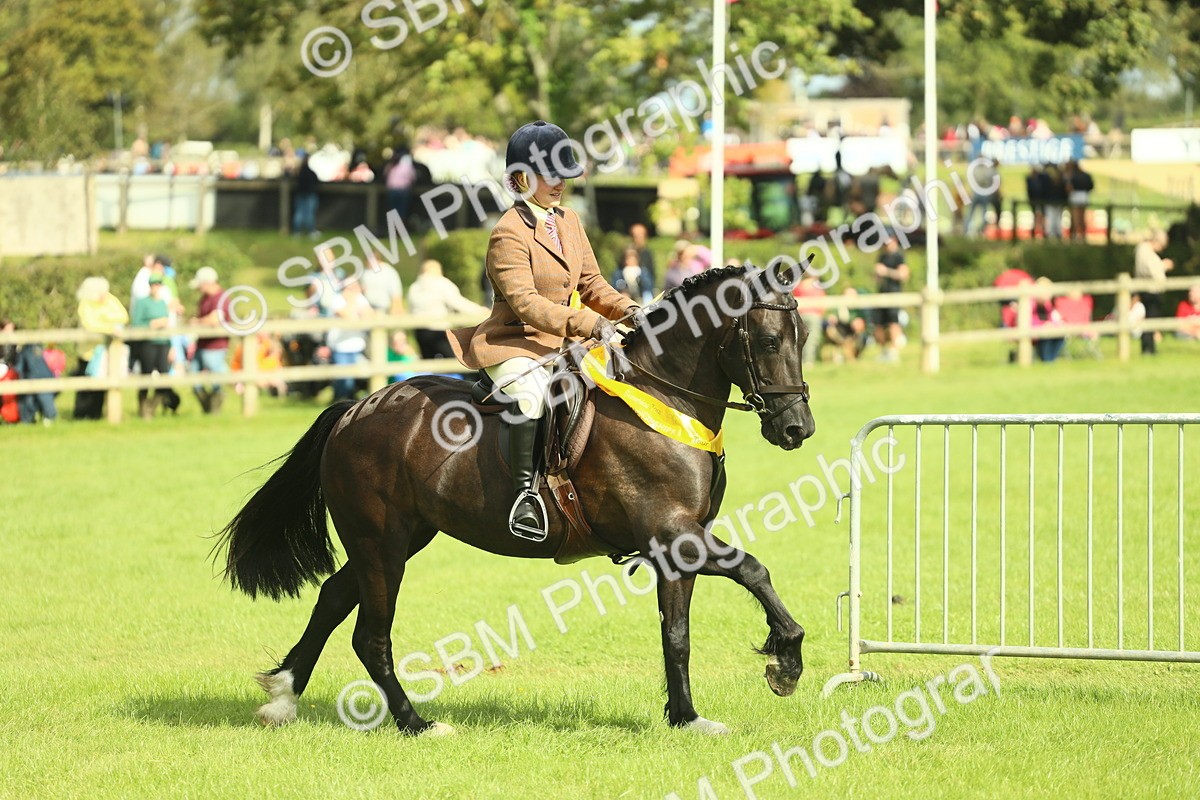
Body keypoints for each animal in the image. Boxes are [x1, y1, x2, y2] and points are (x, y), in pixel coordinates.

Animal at [217, 260, 816, 736]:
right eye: (768, 342)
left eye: (804, 337)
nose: (797, 429)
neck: (663, 399)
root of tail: (355, 409)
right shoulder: (674, 535)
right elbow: (754, 571)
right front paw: (785, 662)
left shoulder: (679, 547)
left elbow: (677, 635)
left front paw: (687, 718)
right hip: (381, 544)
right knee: (370, 635)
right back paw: (417, 724)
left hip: (397, 540)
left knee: (333, 598)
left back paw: (283, 698)